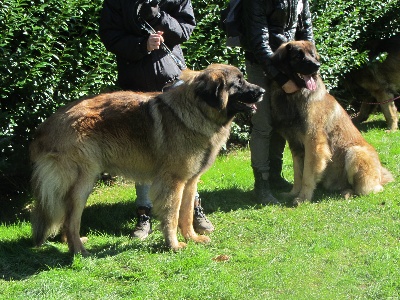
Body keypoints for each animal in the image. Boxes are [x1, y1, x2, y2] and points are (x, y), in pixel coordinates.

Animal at [29, 63, 264, 255]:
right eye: (239, 82)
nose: (262, 91)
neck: (197, 109)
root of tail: (46, 125)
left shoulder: (190, 181)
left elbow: (187, 213)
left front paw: (192, 238)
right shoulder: (173, 182)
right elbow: (172, 215)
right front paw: (174, 245)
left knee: (67, 216)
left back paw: (72, 243)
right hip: (83, 182)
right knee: (71, 218)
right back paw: (78, 250)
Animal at [268, 40, 394, 206]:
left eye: (312, 54)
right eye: (298, 56)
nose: (317, 65)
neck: (294, 96)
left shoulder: (314, 143)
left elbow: (307, 175)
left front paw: (303, 198)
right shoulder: (295, 145)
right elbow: (298, 173)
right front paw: (293, 193)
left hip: (354, 152)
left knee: (369, 189)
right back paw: (345, 192)